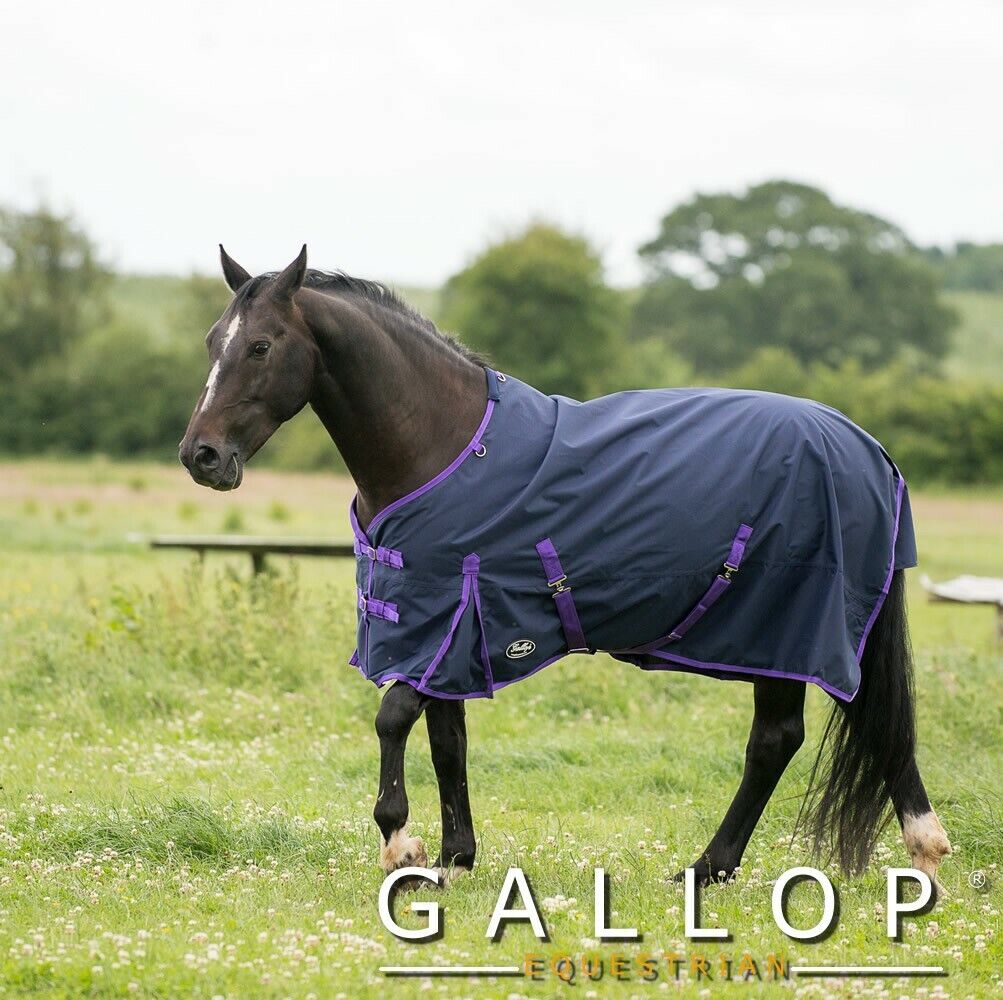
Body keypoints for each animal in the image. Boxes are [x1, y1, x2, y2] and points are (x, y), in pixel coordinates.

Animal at [179, 245, 951, 890]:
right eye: (213, 343)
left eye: (259, 345)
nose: (201, 456)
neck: (442, 444)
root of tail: (868, 449)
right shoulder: (447, 627)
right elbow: (448, 742)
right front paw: (455, 859)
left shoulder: (449, 628)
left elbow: (393, 717)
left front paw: (401, 844)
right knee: (847, 730)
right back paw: (897, 854)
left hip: (785, 628)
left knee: (783, 740)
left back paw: (716, 867)